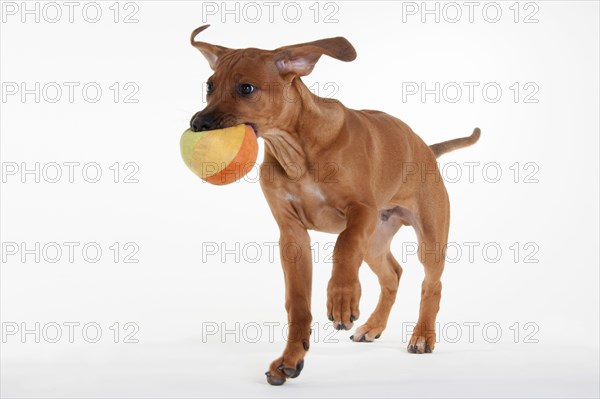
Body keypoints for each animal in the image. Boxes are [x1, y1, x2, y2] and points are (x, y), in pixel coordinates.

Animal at [188, 25, 478, 388]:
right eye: (209, 86)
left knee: (432, 284)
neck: (296, 150)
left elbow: (343, 245)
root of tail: (427, 148)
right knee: (393, 274)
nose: (197, 124)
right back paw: (373, 326)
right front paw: (290, 359)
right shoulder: (292, 235)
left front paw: (342, 297)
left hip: (429, 237)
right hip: (375, 240)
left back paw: (423, 335)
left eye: (246, 88)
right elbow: (298, 304)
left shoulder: (360, 211)